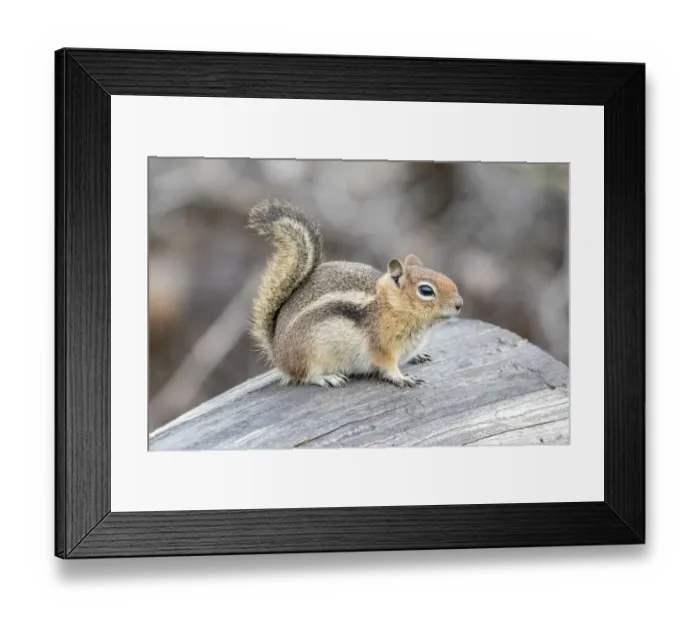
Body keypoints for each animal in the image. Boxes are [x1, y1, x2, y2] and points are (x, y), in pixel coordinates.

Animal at [248, 199, 463, 388]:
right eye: (426, 290)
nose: (460, 304)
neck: (389, 306)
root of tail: (277, 351)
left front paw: (418, 356)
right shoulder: (382, 348)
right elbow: (388, 367)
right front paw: (402, 378)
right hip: (310, 355)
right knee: (304, 375)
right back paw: (328, 378)